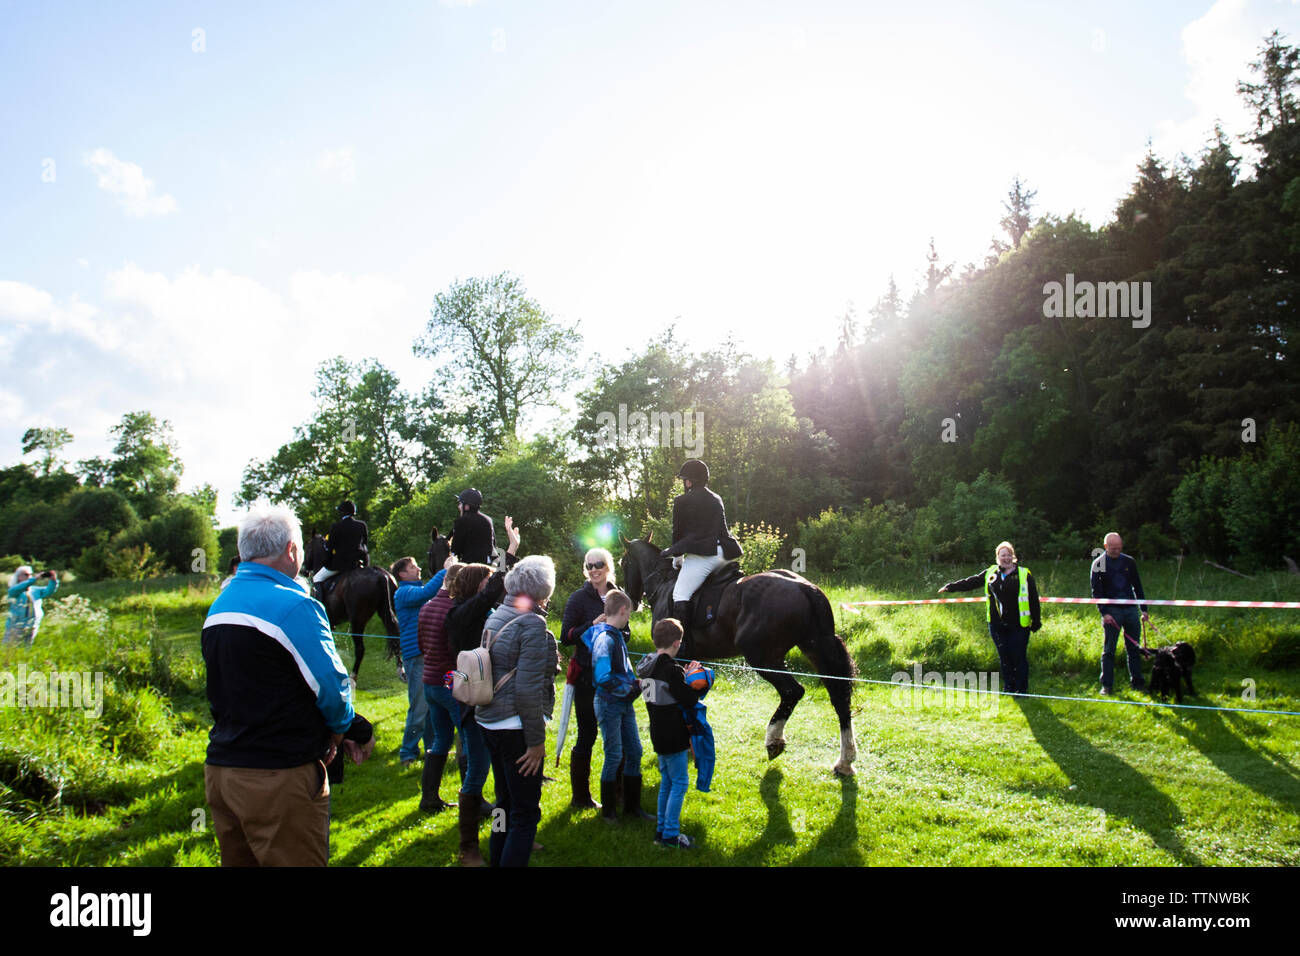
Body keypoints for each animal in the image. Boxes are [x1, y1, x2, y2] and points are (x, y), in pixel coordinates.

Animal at [304, 535, 400, 686]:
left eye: (308, 548)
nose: (304, 570)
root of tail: (381, 575)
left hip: (357, 620)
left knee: (360, 649)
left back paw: (352, 678)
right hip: (386, 612)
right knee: (396, 637)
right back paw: (402, 671)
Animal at [621, 535, 863, 775]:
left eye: (623, 564)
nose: (631, 601)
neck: (662, 582)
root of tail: (805, 587)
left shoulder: (677, 657)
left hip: (763, 658)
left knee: (792, 691)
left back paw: (774, 740)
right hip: (814, 648)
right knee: (838, 696)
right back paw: (844, 761)